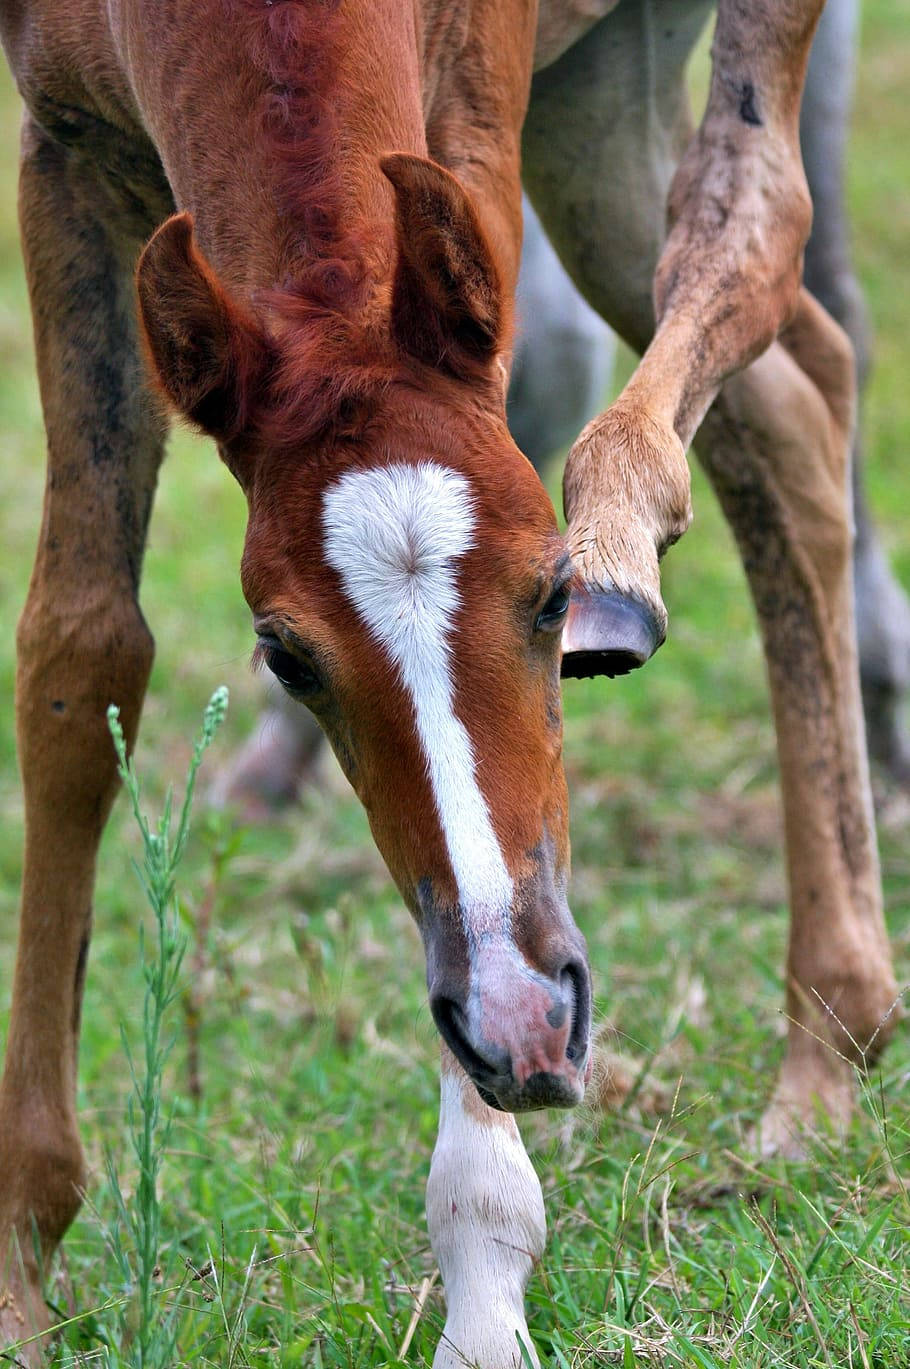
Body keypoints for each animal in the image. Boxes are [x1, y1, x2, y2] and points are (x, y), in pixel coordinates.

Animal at [0, 0, 899, 1365]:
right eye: (283, 653)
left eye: (546, 592)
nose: (524, 1025)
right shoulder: (65, 155)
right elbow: (80, 650)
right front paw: (21, 1265)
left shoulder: (469, 123)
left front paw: (483, 1279)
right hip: (597, 100)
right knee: (791, 402)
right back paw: (827, 1047)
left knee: (751, 227)